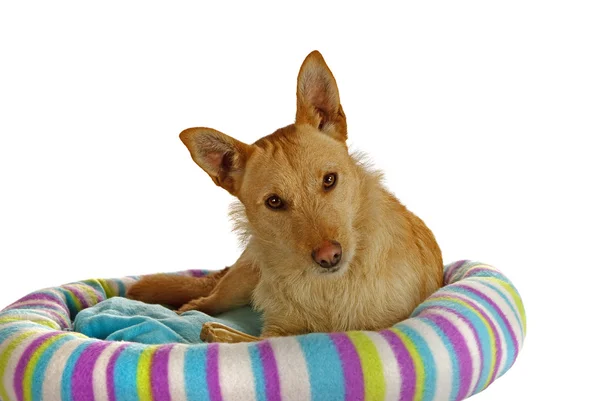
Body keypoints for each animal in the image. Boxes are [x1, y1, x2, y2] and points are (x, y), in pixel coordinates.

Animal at [126, 50, 442, 342]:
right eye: (274, 202)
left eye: (330, 180)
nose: (329, 257)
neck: (328, 289)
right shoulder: (276, 331)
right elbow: (258, 339)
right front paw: (218, 332)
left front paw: (219, 333)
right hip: (236, 284)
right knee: (197, 304)